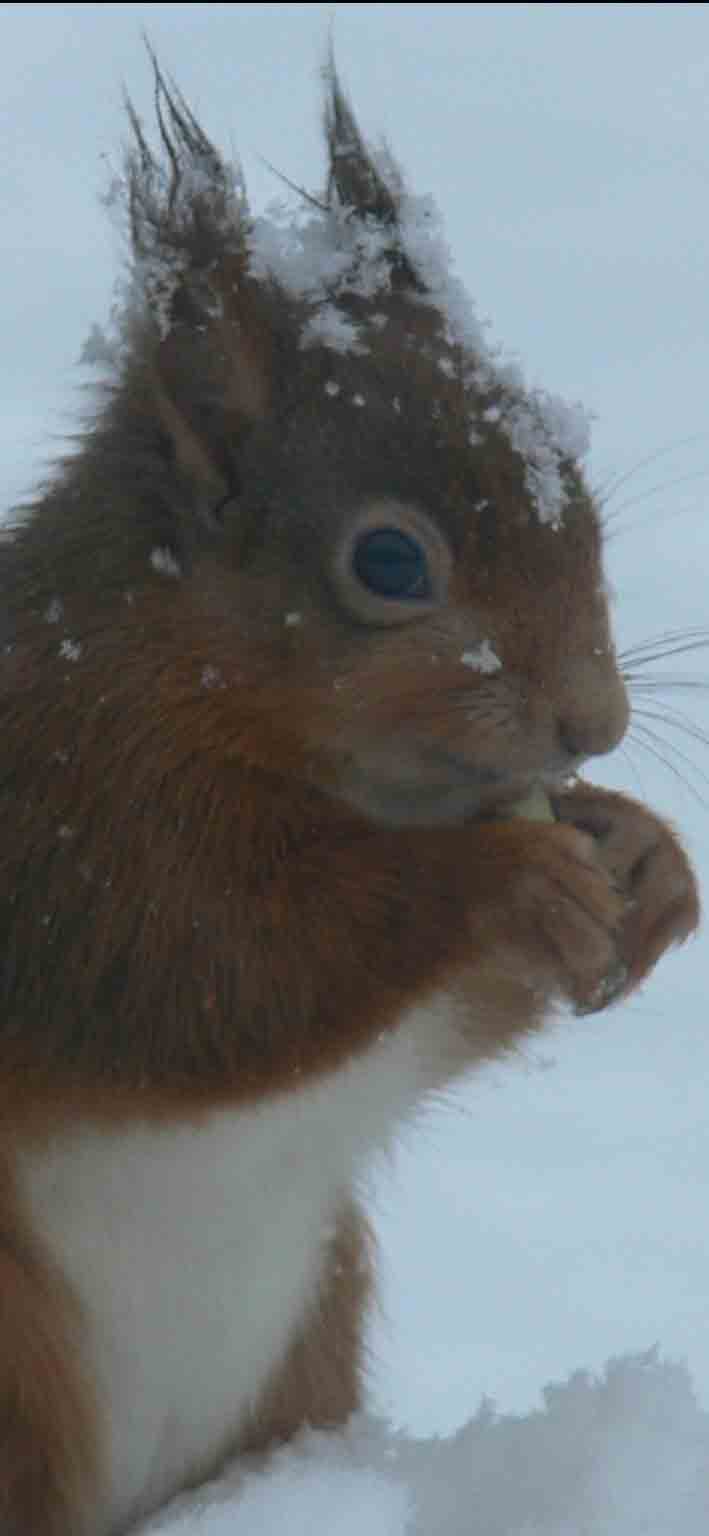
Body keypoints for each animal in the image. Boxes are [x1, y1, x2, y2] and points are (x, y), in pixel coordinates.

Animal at [0, 56, 696, 1536]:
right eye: (388, 561)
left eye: (576, 487)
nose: (594, 721)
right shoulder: (68, 821)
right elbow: (217, 965)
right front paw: (501, 883)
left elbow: (424, 1029)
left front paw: (648, 860)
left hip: (313, 1317)